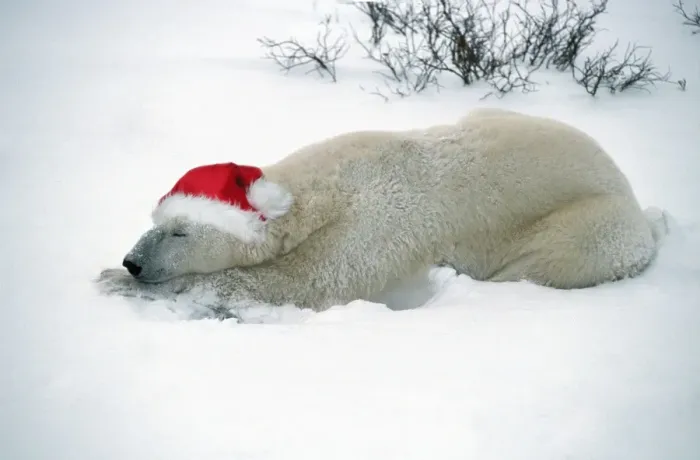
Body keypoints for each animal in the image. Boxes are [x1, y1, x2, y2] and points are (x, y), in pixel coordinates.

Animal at [97, 108, 669, 314]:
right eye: (157, 222)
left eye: (180, 233)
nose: (133, 262)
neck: (333, 182)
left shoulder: (385, 217)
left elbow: (313, 279)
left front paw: (114, 283)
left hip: (592, 224)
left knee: (546, 260)